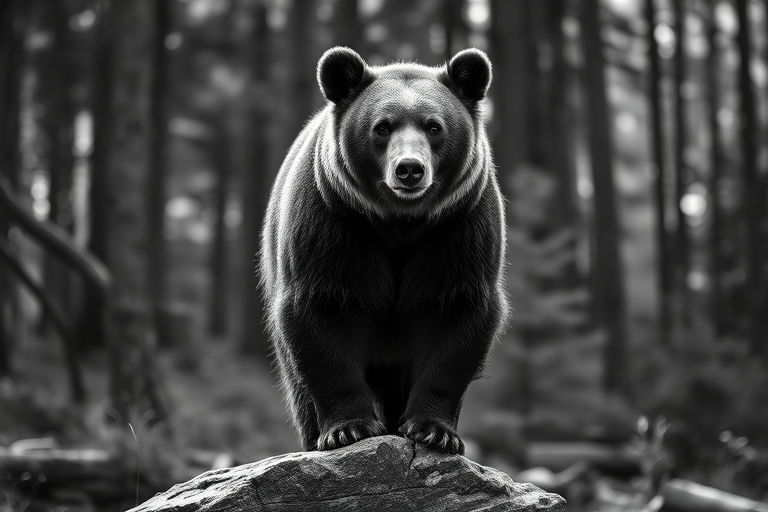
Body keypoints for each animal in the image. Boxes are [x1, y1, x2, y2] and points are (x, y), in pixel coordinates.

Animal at [260, 46, 507, 455]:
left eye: (434, 126)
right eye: (382, 126)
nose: (409, 168)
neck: (399, 223)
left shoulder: (459, 230)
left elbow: (459, 320)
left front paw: (435, 431)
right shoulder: (333, 226)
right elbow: (320, 316)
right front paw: (348, 429)